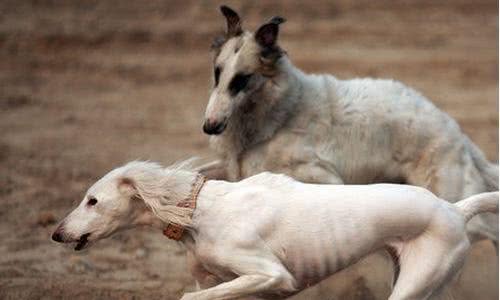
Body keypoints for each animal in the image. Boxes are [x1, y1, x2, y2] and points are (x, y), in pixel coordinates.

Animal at [201, 5, 498, 245]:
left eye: (242, 79)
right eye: (217, 72)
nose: (209, 126)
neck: (282, 114)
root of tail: (457, 132)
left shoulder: (324, 178)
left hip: (451, 197)